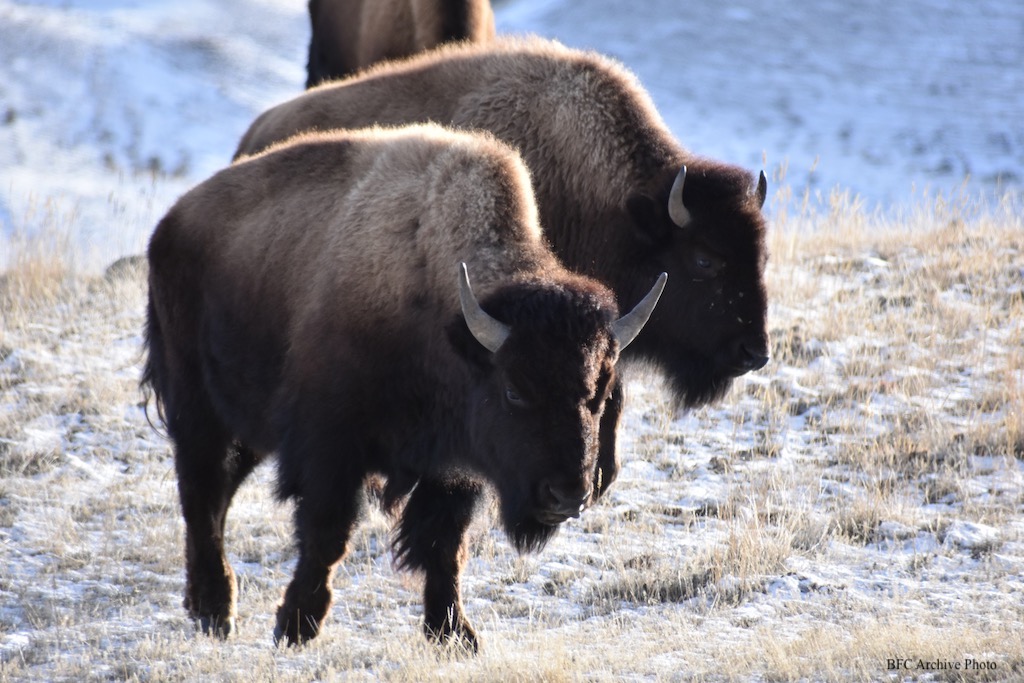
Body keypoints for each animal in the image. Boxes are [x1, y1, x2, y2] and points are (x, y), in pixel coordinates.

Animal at [142, 123, 666, 650]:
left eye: (600, 393)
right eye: (515, 390)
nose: (567, 495)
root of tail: (169, 224)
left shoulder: (453, 471)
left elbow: (444, 546)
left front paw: (454, 635)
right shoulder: (331, 449)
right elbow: (328, 533)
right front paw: (296, 626)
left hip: (246, 427)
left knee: (218, 495)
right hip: (199, 410)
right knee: (202, 493)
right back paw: (214, 611)